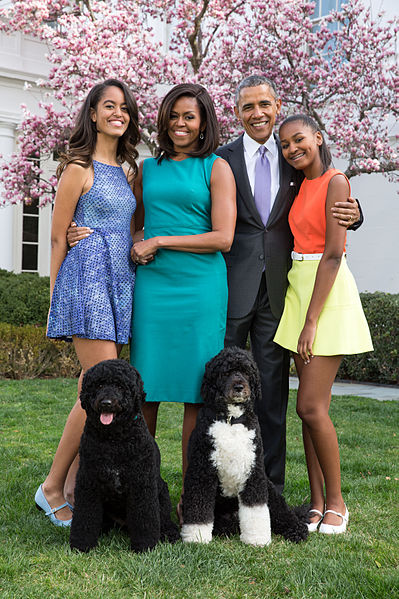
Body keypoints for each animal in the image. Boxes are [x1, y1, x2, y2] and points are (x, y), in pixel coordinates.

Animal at [70, 360, 180, 552]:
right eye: (99, 385)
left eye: (120, 386)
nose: (106, 403)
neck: (114, 440)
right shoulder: (88, 481)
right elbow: (85, 515)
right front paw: (81, 544)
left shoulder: (141, 484)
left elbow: (145, 519)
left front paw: (145, 545)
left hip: (161, 492)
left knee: (164, 519)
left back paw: (169, 533)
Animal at [181, 346, 310, 548]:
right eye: (226, 372)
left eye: (247, 372)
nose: (239, 387)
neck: (232, 420)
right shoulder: (202, 471)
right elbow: (198, 508)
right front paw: (197, 537)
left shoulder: (253, 472)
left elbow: (255, 509)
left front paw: (257, 538)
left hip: (270, 490)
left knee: (284, 514)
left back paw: (296, 529)